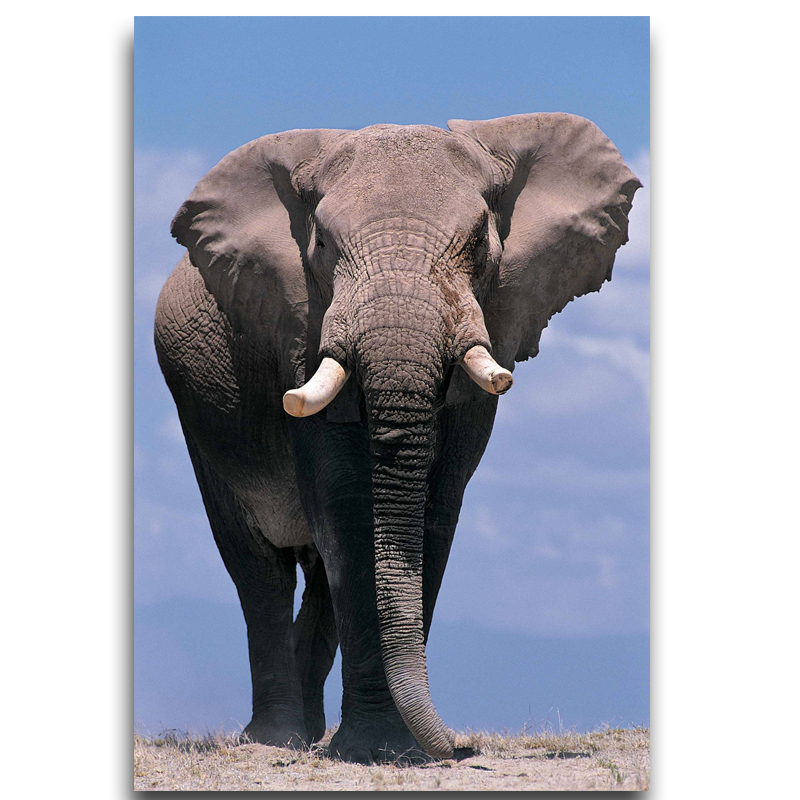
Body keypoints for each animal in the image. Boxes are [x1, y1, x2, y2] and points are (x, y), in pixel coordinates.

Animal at [154, 113, 640, 763]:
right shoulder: (300, 328)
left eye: (480, 245)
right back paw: (276, 740)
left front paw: (392, 747)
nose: (461, 746)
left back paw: (310, 734)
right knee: (259, 568)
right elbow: (347, 505)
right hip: (199, 417)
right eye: (322, 246)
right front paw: (376, 748)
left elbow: (435, 509)